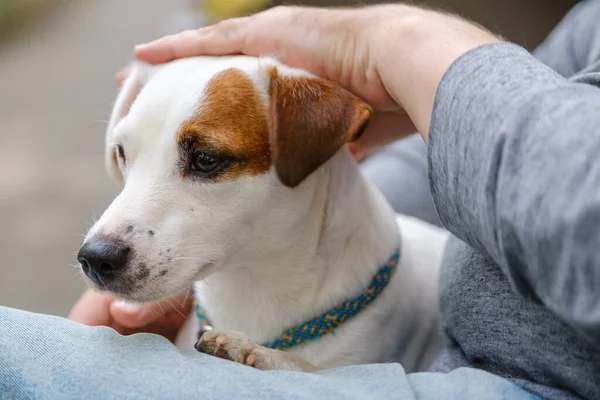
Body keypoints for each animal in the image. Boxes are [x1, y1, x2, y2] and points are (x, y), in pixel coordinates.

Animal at [77, 54, 448, 374]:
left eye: (206, 159)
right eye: (121, 152)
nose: (95, 258)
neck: (253, 283)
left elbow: (310, 370)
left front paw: (256, 352)